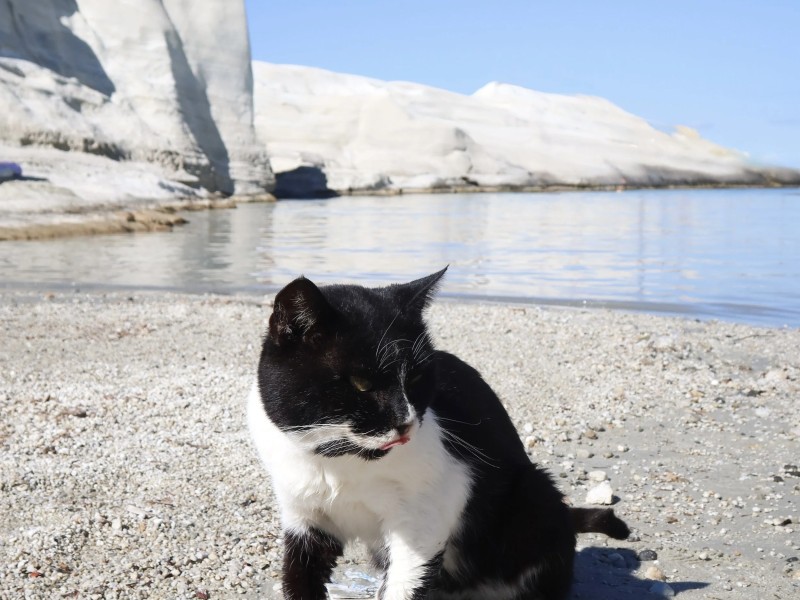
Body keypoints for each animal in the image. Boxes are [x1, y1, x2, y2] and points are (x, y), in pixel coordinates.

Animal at [248, 268, 630, 600]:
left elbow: (406, 579)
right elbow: (300, 577)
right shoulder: (303, 517)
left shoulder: (431, 511)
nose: (406, 421)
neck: (343, 463)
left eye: (416, 378)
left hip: (533, 497)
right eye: (361, 384)